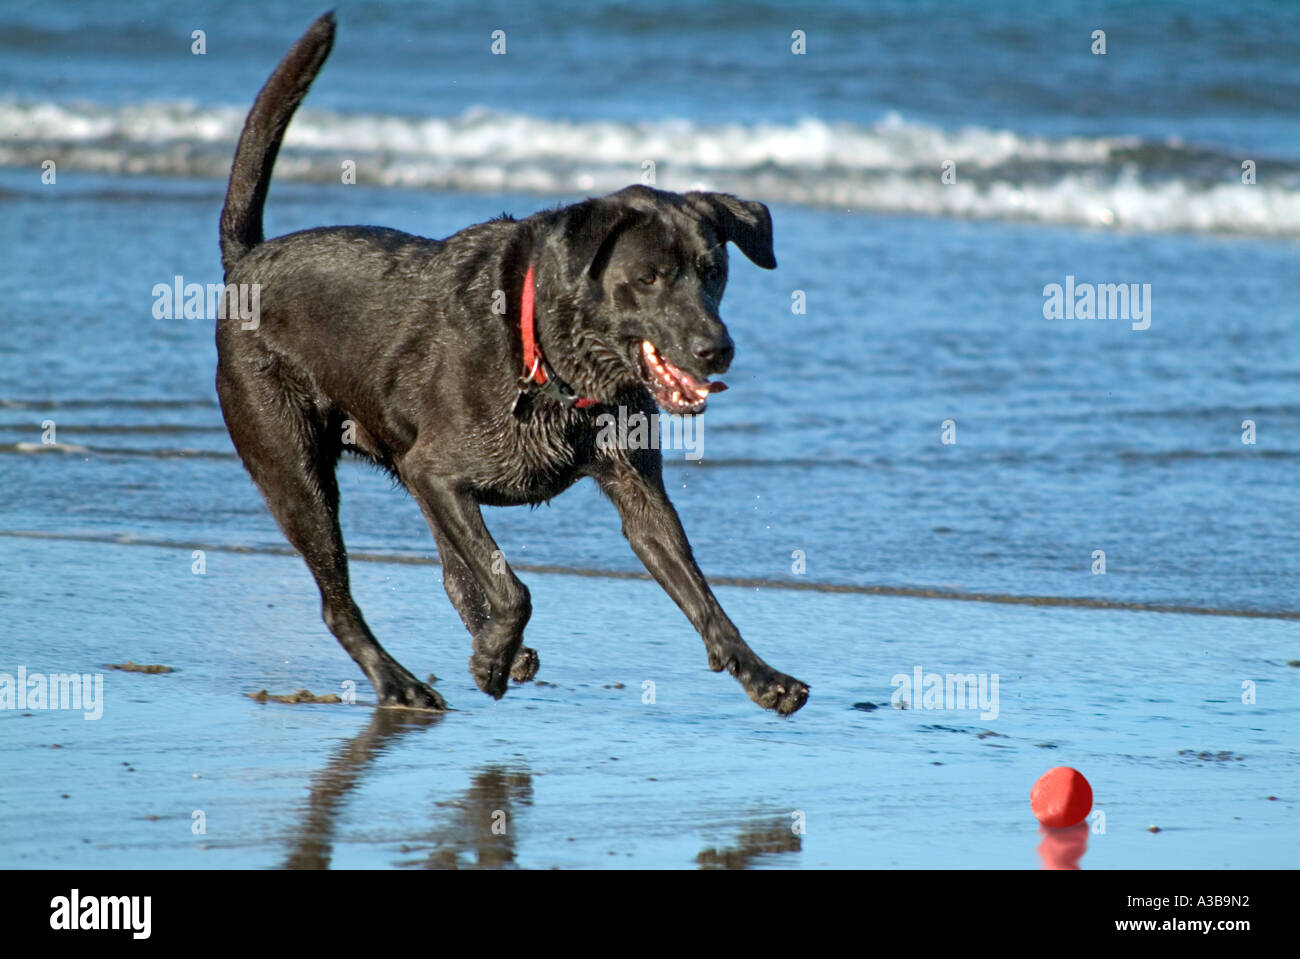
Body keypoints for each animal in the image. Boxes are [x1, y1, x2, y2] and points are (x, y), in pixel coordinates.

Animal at [215, 11, 800, 712]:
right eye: (649, 278)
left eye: (713, 272)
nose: (718, 348)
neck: (554, 361)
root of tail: (246, 264)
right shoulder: (438, 472)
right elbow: (514, 588)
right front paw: (492, 657)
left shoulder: (634, 489)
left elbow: (697, 589)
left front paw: (761, 673)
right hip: (294, 466)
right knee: (339, 598)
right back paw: (403, 680)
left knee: (449, 571)